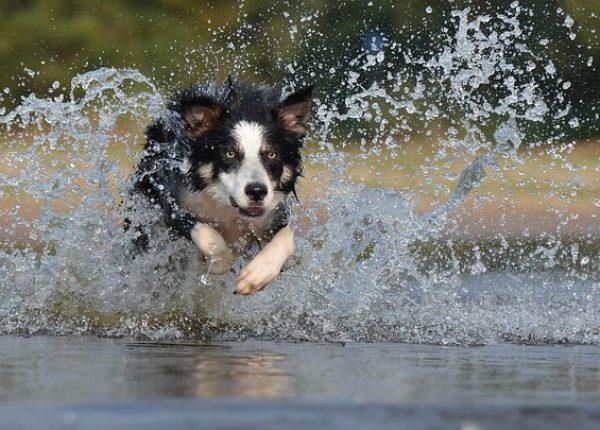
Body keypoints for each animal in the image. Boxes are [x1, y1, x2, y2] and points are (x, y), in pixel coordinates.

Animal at [126, 77, 314, 294]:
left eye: (271, 154)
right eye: (229, 153)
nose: (257, 191)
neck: (228, 208)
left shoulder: (274, 214)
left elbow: (286, 238)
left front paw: (257, 275)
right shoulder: (174, 204)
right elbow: (209, 236)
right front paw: (220, 262)